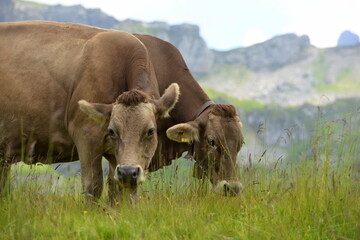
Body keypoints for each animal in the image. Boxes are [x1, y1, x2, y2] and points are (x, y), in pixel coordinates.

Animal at [0, 21, 180, 201]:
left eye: (150, 131)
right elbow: (93, 186)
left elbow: (119, 190)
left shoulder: (118, 159)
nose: (128, 172)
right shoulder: (86, 135)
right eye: (112, 131)